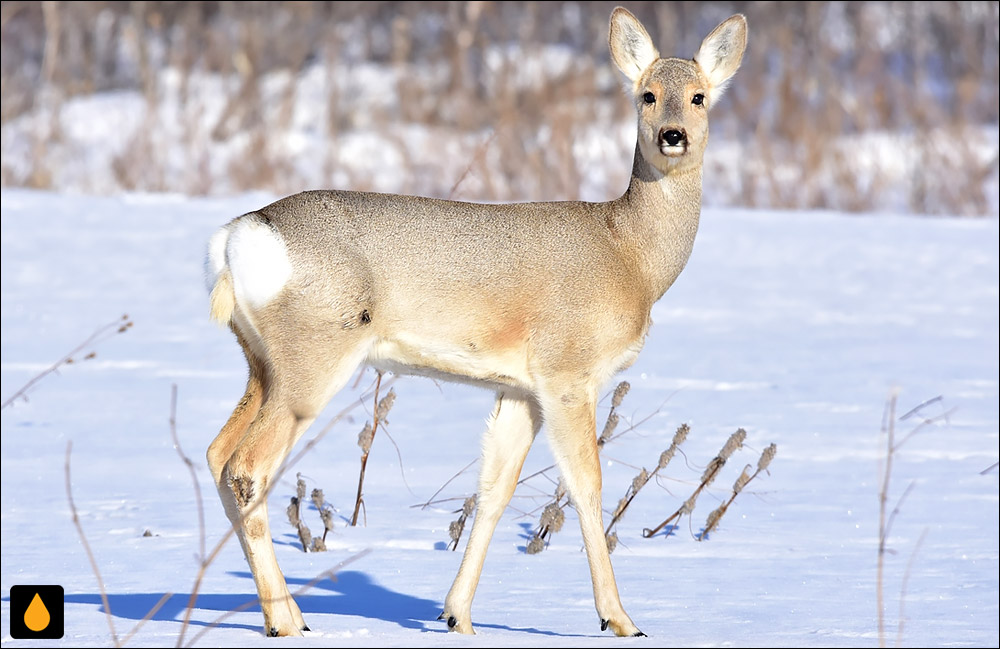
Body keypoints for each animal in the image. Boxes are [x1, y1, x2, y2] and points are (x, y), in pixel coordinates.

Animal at [207, 7, 748, 636]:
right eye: (647, 95)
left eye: (699, 96)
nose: (672, 135)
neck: (631, 256)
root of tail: (238, 236)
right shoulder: (567, 372)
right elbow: (586, 487)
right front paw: (620, 619)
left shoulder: (520, 389)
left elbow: (494, 489)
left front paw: (457, 617)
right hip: (312, 359)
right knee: (246, 467)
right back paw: (286, 621)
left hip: (261, 364)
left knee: (217, 455)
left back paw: (286, 611)